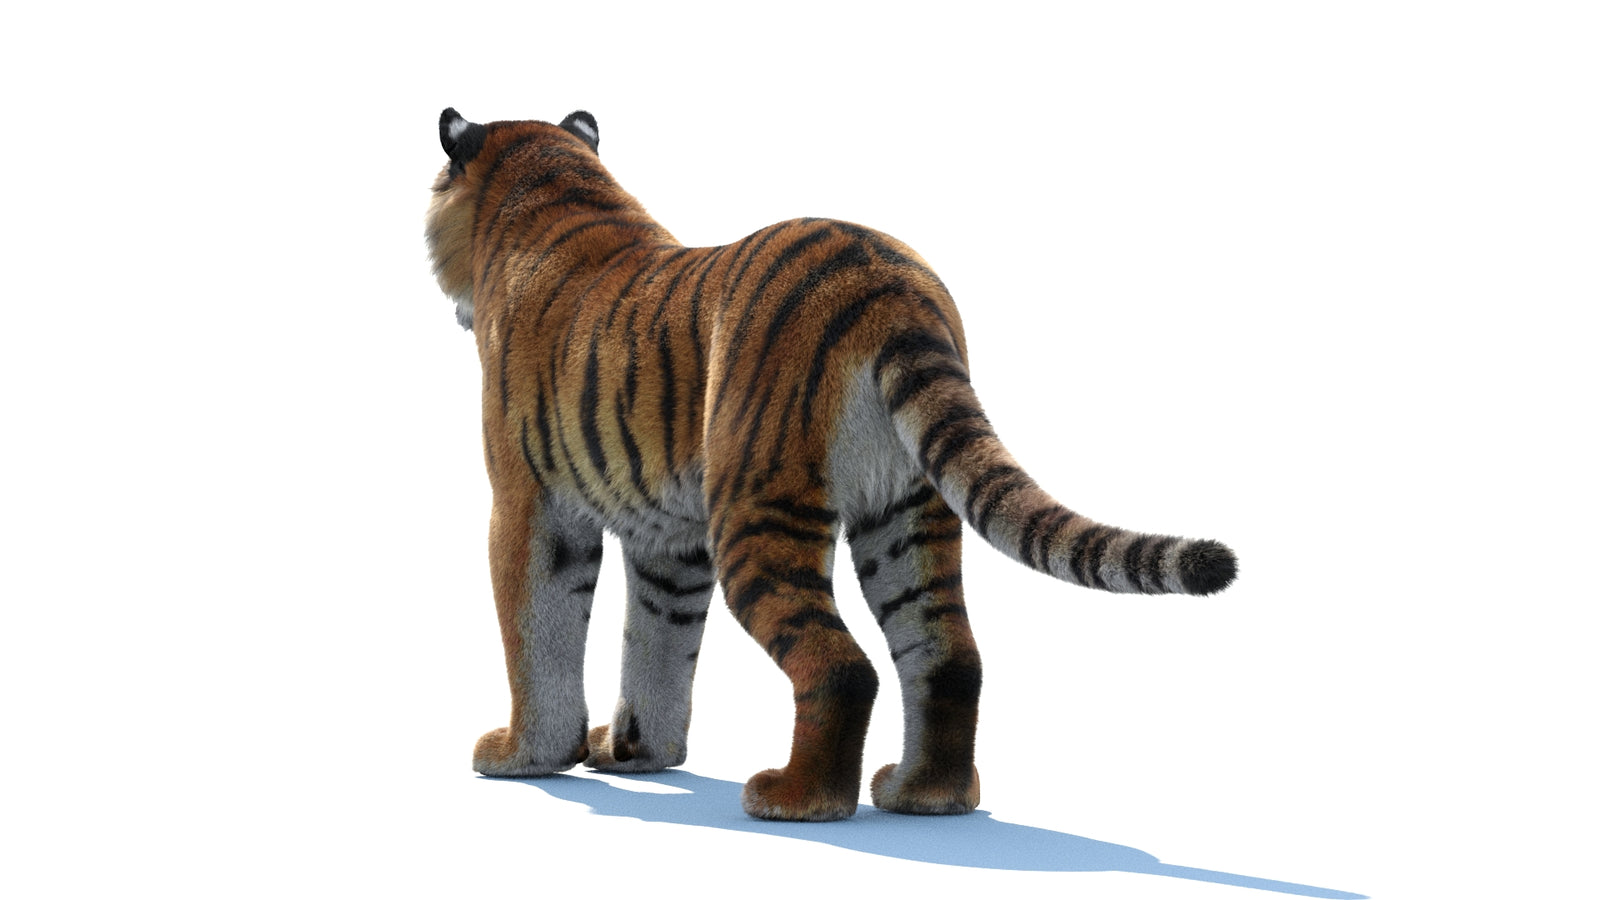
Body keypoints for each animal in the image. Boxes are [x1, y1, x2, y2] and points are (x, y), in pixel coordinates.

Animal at [424, 107, 1237, 822]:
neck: (553, 186)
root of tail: (888, 282)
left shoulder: (531, 507)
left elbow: (538, 633)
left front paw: (524, 755)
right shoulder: (668, 539)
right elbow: (656, 643)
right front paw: (636, 753)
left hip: (759, 508)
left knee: (841, 666)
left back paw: (795, 799)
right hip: (908, 514)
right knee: (949, 656)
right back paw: (924, 794)